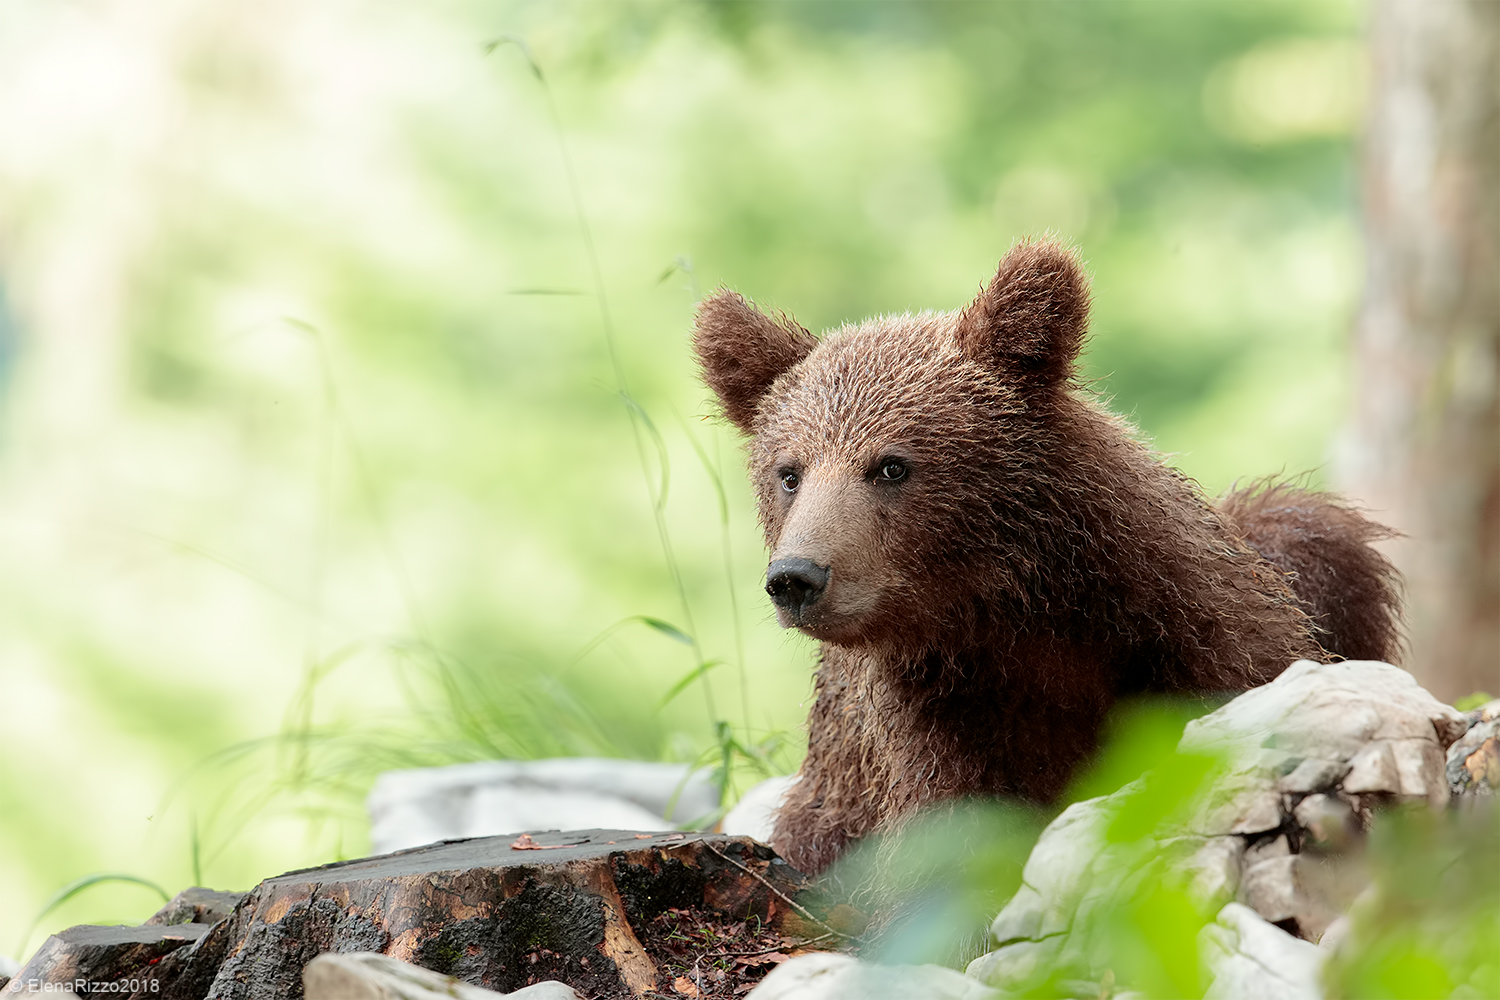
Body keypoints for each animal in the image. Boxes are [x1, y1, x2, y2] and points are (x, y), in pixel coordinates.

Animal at [692, 238, 1403, 876]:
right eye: (789, 473)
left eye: (891, 465)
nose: (796, 579)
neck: (1022, 616)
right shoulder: (940, 728)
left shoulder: (1198, 640)